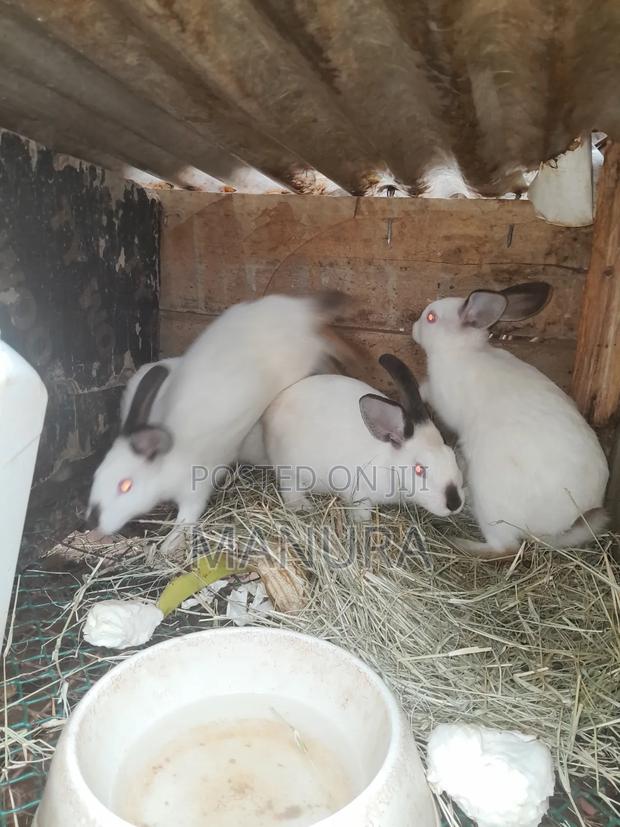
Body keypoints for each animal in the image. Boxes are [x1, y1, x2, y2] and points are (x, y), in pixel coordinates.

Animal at [86, 291, 357, 552]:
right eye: (96, 475)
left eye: (125, 485)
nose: (93, 520)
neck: (167, 460)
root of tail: (299, 310)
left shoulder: (194, 491)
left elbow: (187, 518)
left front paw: (168, 546)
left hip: (306, 354)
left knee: (330, 346)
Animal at [260, 353, 465, 521]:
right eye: (419, 469)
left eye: (451, 456)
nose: (454, 504)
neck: (388, 464)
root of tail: (273, 406)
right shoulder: (359, 493)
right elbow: (361, 512)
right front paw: (362, 525)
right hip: (288, 468)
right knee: (290, 487)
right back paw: (302, 506)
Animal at [412, 281, 609, 558]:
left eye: (431, 317)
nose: (413, 328)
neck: (461, 350)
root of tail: (568, 520)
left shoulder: (443, 400)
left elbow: (428, 392)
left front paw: (418, 389)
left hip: (491, 505)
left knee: (504, 548)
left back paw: (459, 543)